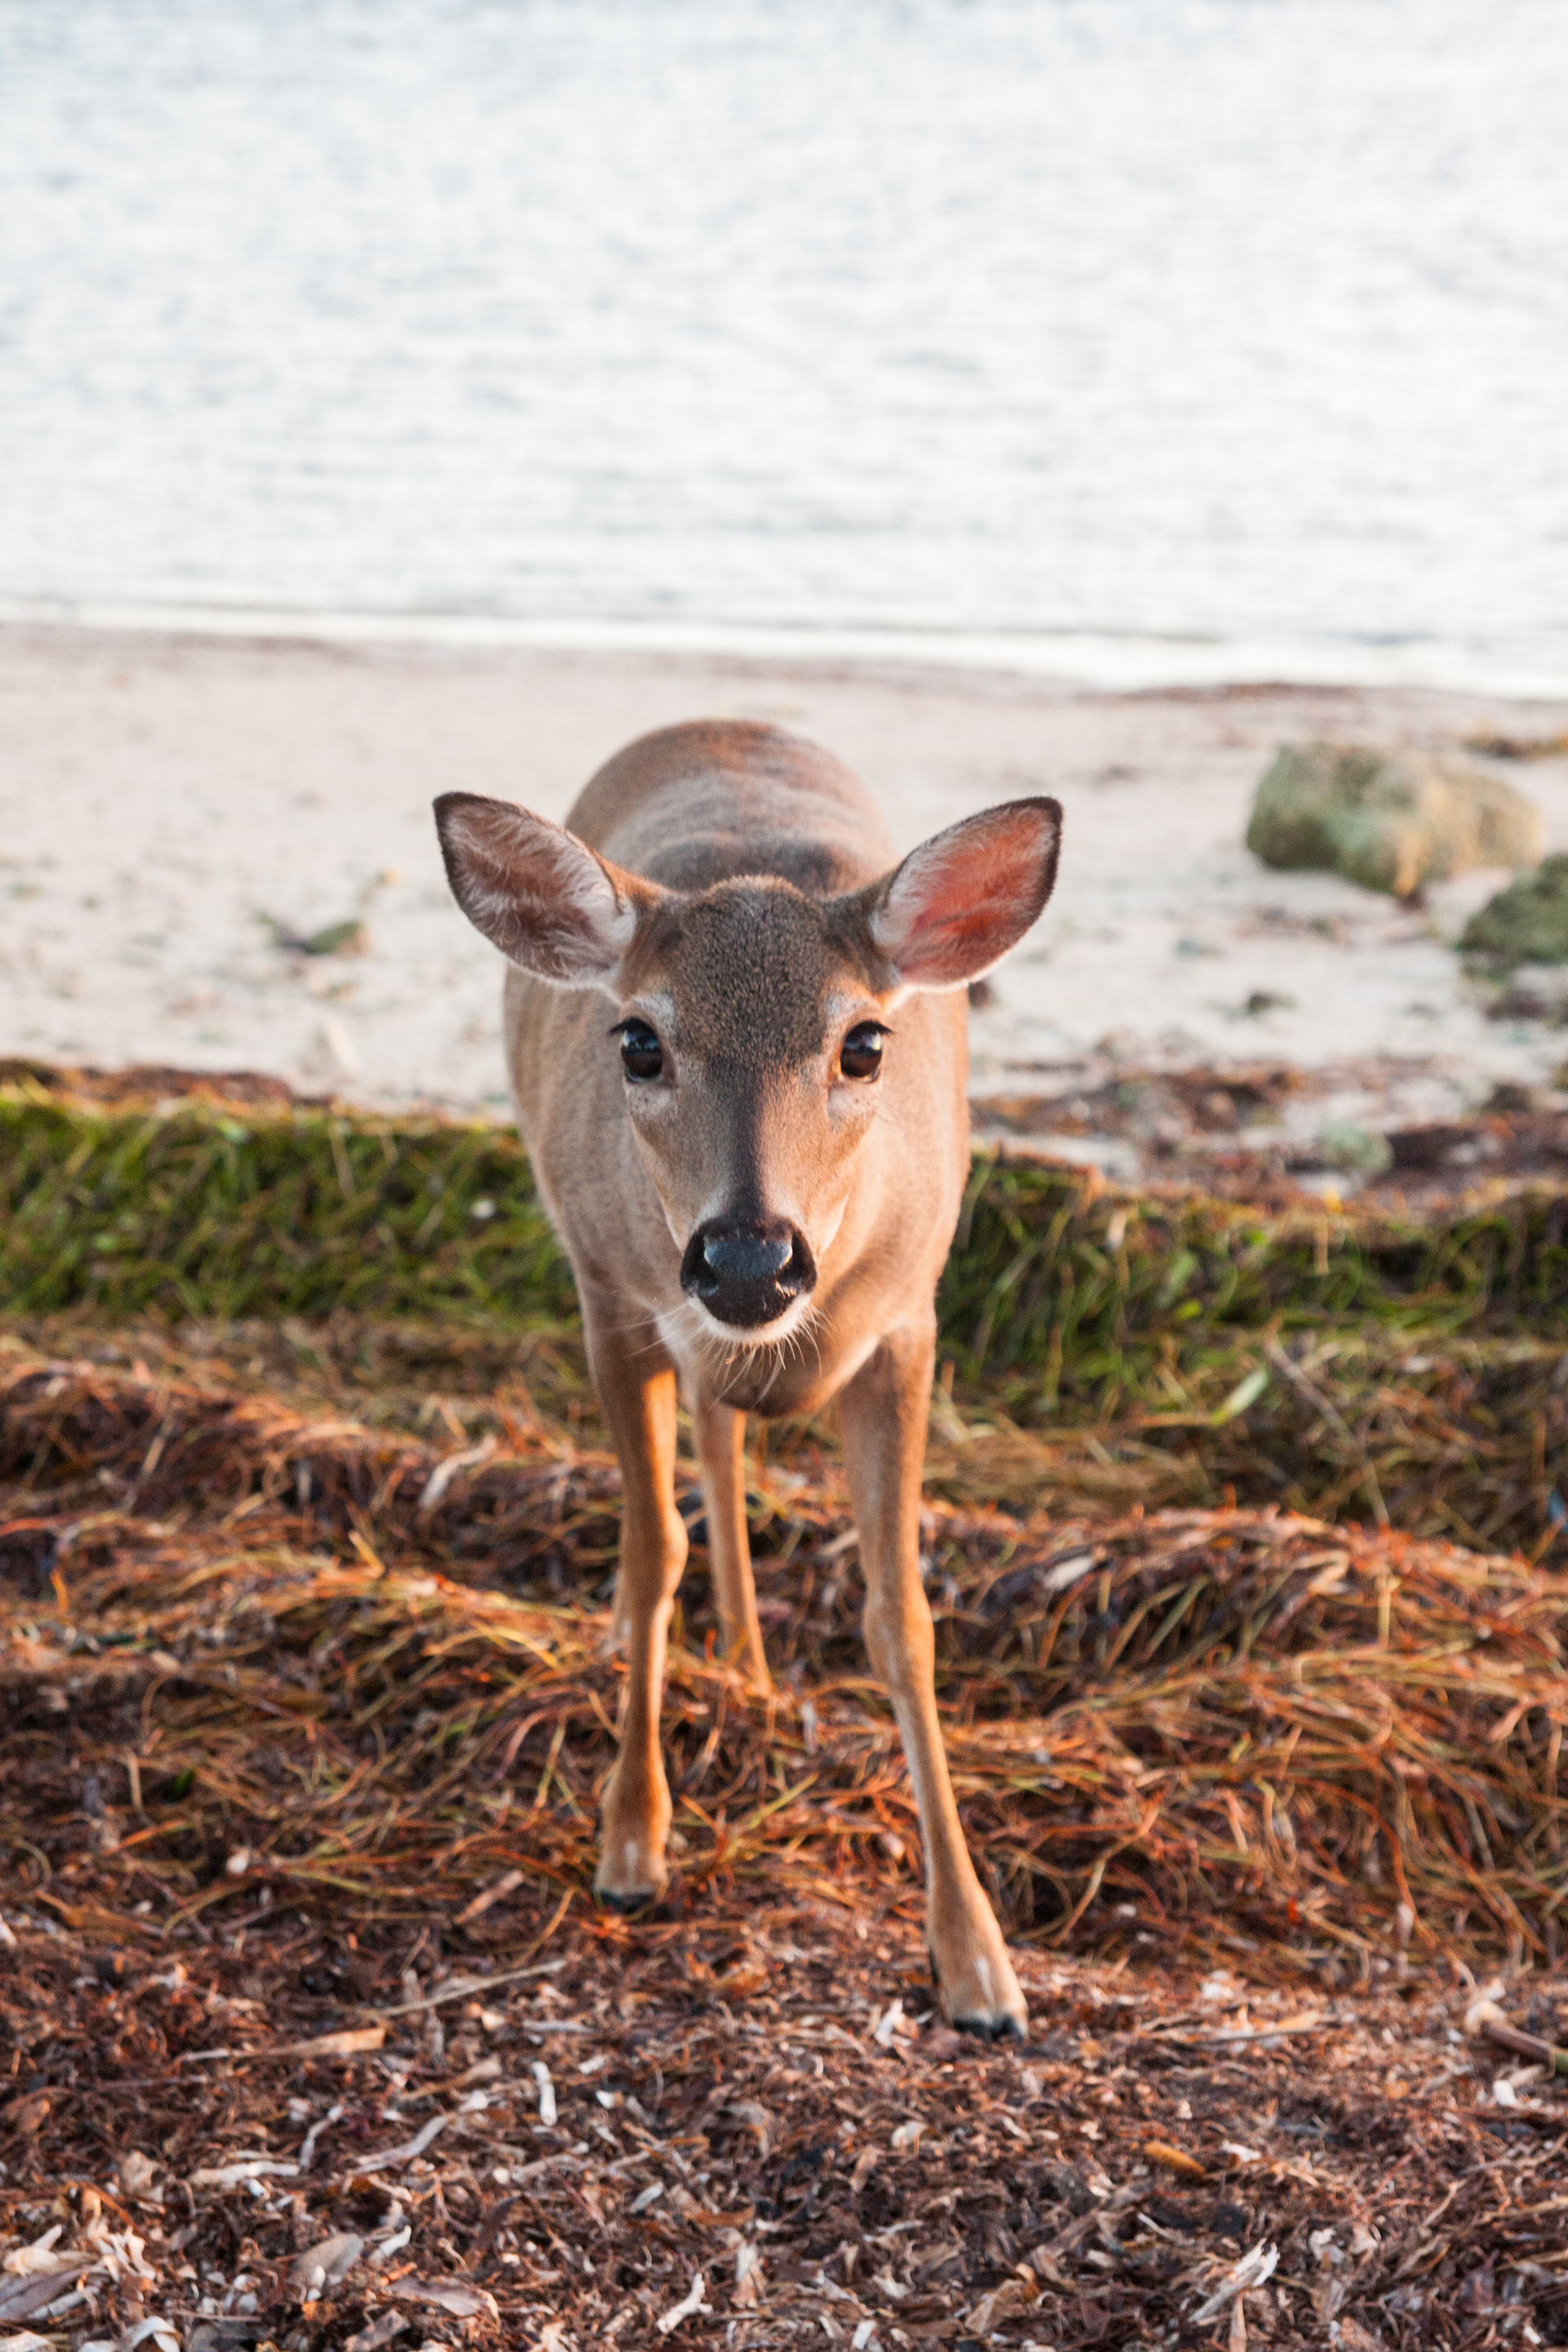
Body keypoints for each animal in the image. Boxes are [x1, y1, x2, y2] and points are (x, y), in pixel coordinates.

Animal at [435, 721, 1061, 2038]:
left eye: (864, 1042)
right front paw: (631, 1843)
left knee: (726, 1441)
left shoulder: (910, 1324)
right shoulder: (614, 1298)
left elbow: (902, 1620)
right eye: (639, 1040)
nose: (747, 1257)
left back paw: (755, 1665)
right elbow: (648, 1554)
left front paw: (978, 1967)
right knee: (704, 1463)